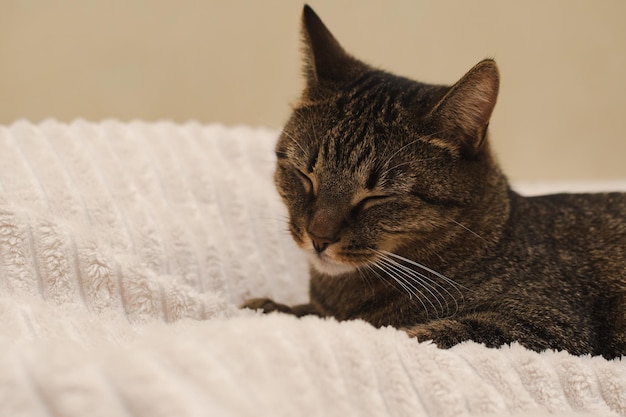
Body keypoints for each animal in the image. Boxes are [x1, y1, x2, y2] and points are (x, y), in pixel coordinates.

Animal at [240, 4, 624, 360]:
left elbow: (418, 333)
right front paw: (269, 306)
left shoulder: (549, 325)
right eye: (305, 175)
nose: (319, 238)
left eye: (377, 197)